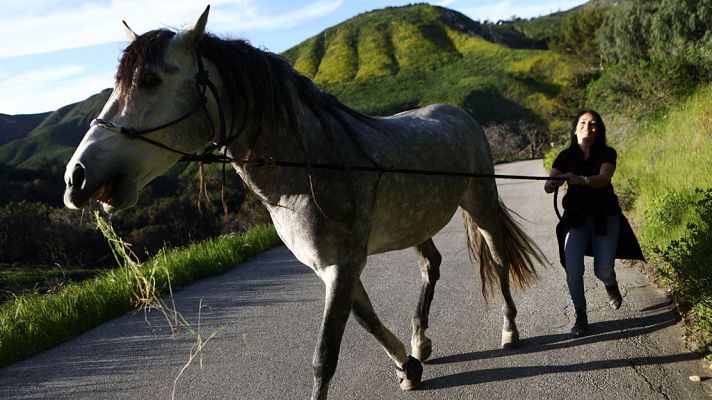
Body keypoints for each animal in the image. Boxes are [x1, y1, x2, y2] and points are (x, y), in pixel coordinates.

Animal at [64, 7, 544, 400]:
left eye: (149, 80)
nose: (76, 177)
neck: (311, 164)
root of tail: (458, 114)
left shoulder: (343, 265)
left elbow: (324, 355)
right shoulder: (331, 268)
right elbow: (367, 320)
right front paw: (408, 367)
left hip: (481, 206)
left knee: (498, 260)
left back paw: (509, 329)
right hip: (416, 224)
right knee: (431, 266)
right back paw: (421, 342)